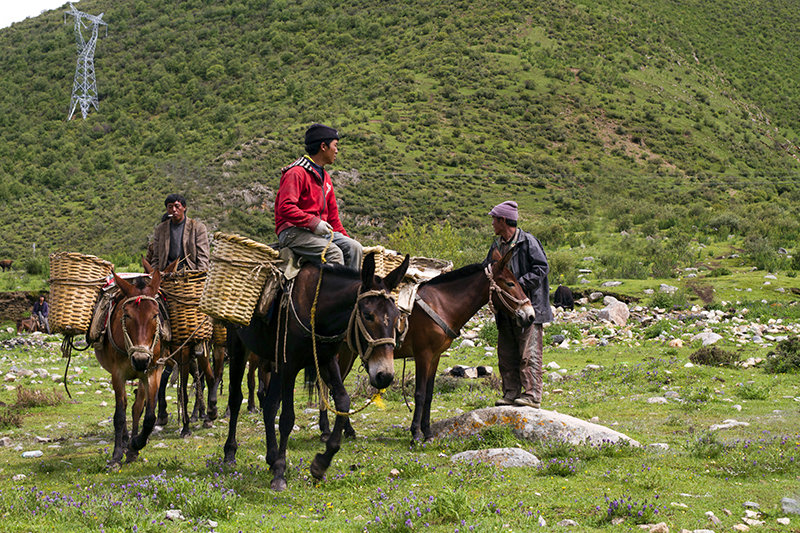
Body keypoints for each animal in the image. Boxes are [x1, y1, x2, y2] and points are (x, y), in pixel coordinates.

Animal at [94, 268, 168, 464]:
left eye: (155, 315)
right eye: (126, 315)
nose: (140, 360)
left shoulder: (152, 372)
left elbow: (149, 416)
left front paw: (136, 444)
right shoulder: (117, 374)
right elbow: (119, 415)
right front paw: (116, 454)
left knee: (137, 406)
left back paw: (133, 446)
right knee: (127, 405)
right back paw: (125, 441)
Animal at [223, 254, 406, 490]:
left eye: (396, 316)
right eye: (368, 315)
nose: (385, 375)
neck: (318, 309)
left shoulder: (326, 360)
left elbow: (343, 402)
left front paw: (321, 463)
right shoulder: (290, 365)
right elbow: (287, 418)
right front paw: (280, 473)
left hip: (274, 363)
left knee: (269, 405)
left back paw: (271, 457)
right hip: (238, 347)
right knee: (236, 398)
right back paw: (230, 453)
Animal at [328, 247, 536, 442]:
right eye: (510, 283)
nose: (530, 315)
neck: (442, 304)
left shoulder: (435, 356)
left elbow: (428, 394)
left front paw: (427, 432)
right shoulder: (423, 355)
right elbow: (419, 393)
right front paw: (415, 434)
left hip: (349, 352)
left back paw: (346, 430)